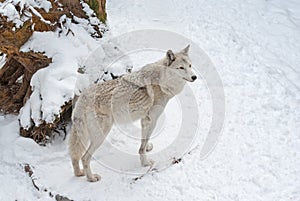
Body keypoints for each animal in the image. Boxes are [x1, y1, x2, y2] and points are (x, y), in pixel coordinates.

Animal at [69, 44, 198, 182]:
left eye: (190, 65)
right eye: (181, 68)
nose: (194, 77)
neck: (162, 81)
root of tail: (83, 98)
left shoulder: (144, 119)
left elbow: (144, 141)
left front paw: (147, 148)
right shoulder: (152, 119)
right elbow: (142, 146)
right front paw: (146, 163)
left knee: (75, 156)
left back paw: (79, 173)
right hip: (100, 135)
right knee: (84, 157)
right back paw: (91, 178)